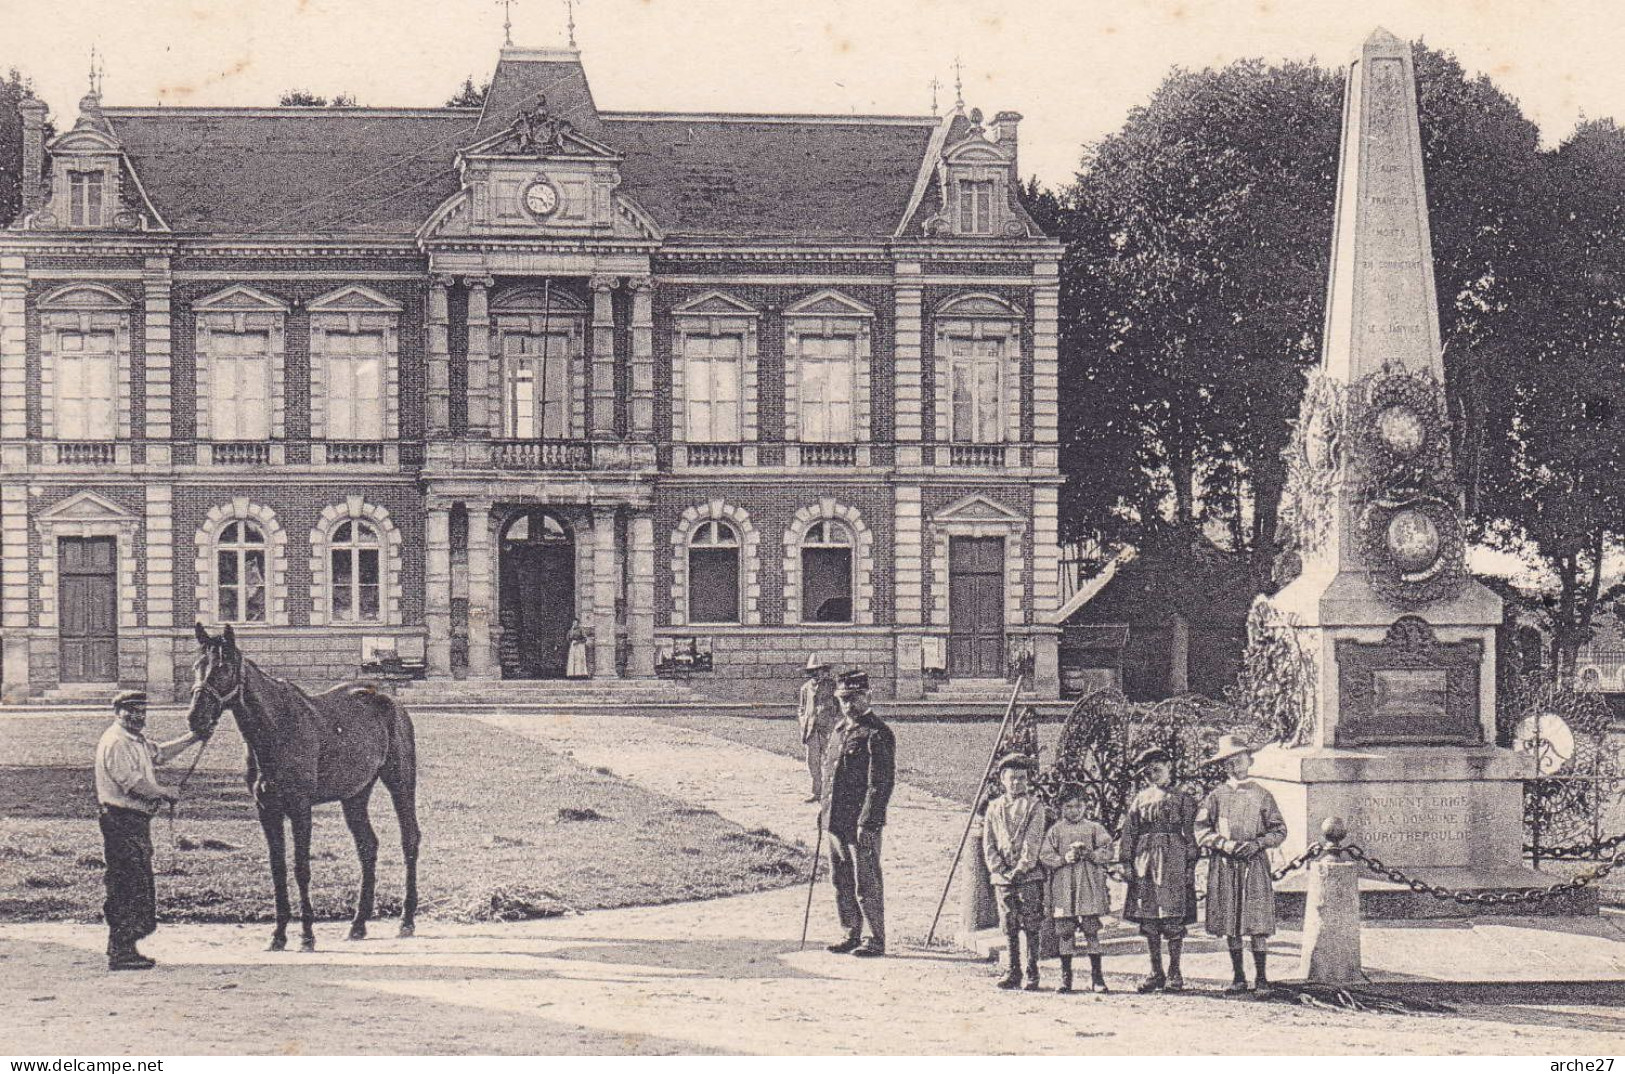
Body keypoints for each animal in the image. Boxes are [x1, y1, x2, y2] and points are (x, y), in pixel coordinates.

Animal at [186, 623, 422, 948]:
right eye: (197, 666)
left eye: (222, 667)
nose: (195, 718)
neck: (275, 729)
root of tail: (390, 701)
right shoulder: (267, 810)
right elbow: (278, 868)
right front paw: (278, 934)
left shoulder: (300, 808)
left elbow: (301, 868)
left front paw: (307, 934)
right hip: (355, 795)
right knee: (367, 846)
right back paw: (358, 924)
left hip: (400, 782)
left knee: (409, 839)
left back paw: (406, 920)